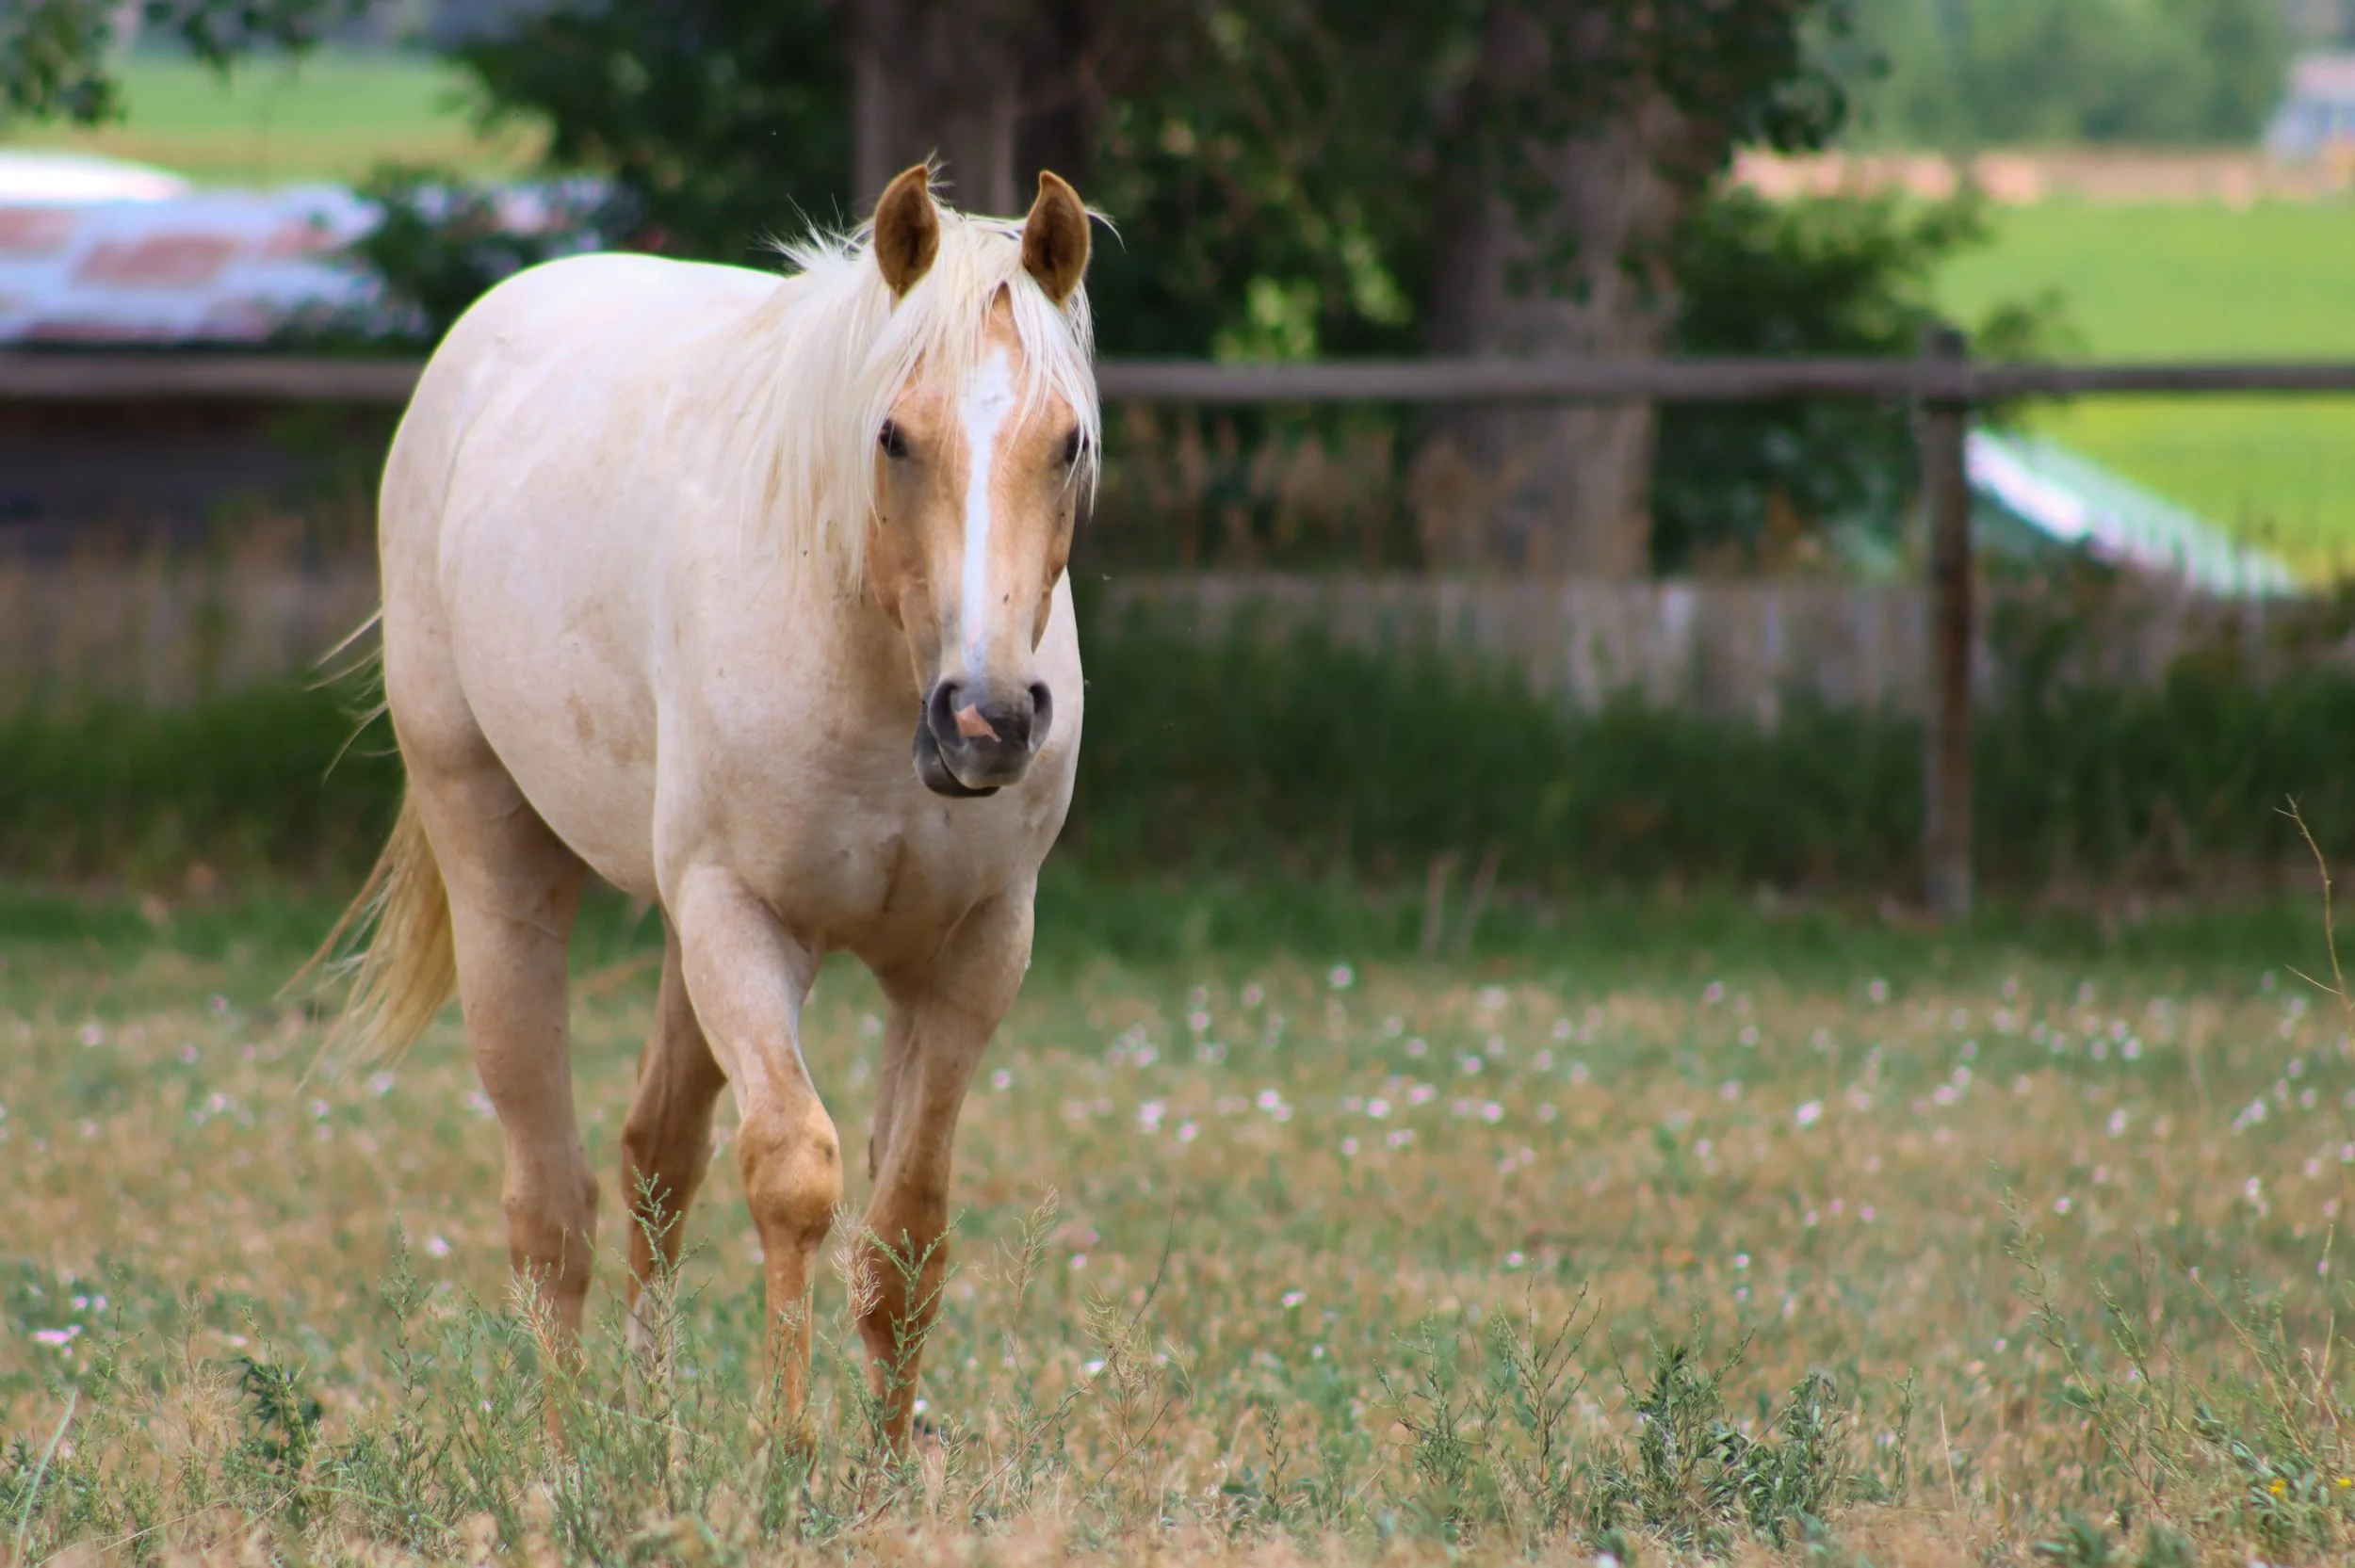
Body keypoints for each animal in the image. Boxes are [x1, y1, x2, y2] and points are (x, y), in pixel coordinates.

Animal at [307, 164, 1100, 1446]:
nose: (985, 719)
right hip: (505, 867)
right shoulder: (745, 921)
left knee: (655, 1160)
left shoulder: (971, 955)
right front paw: (785, 1457)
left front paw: (881, 1476)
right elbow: (793, 1176)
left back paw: (649, 1437)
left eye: (1066, 440)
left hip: (686, 935)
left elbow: (906, 1234)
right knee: (552, 1203)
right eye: (893, 436)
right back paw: (564, 1457)